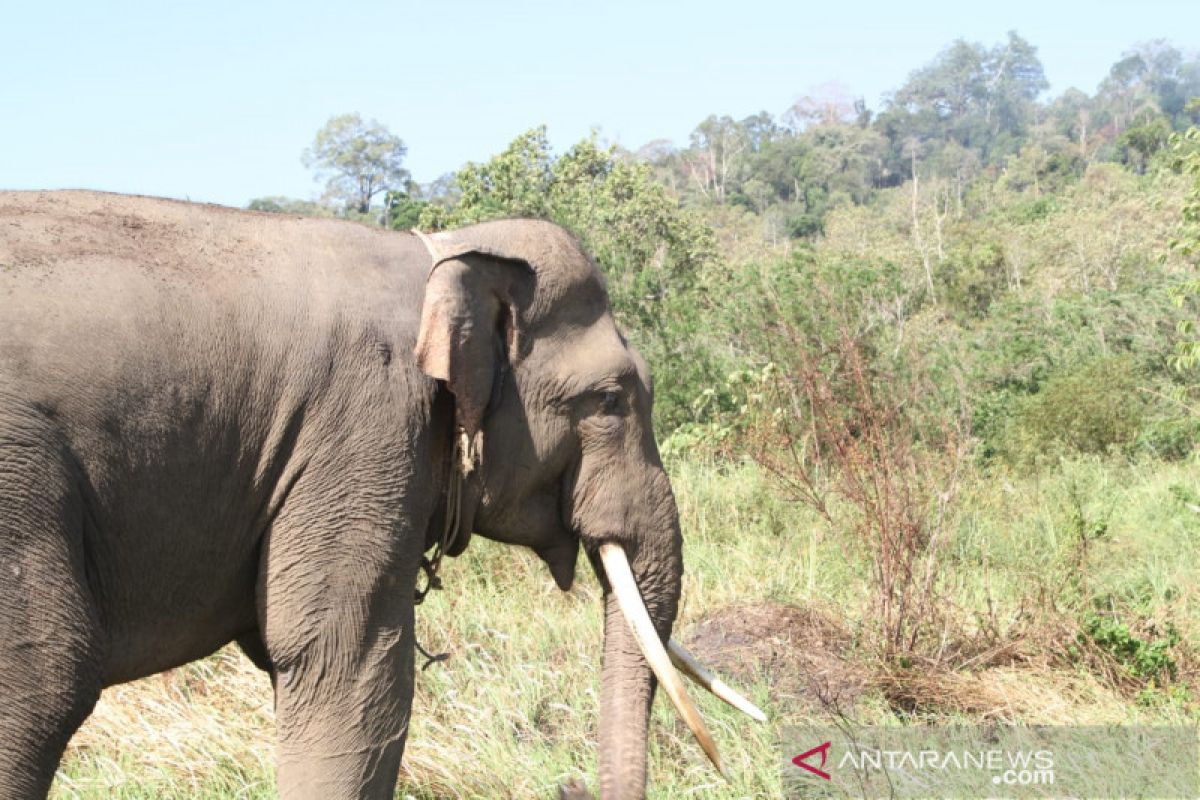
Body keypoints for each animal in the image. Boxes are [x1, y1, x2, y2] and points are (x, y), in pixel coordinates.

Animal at [0, 191, 758, 800]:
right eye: (609, 400)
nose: (567, 780)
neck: (444, 256)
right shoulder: (364, 425)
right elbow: (346, 663)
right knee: (44, 681)